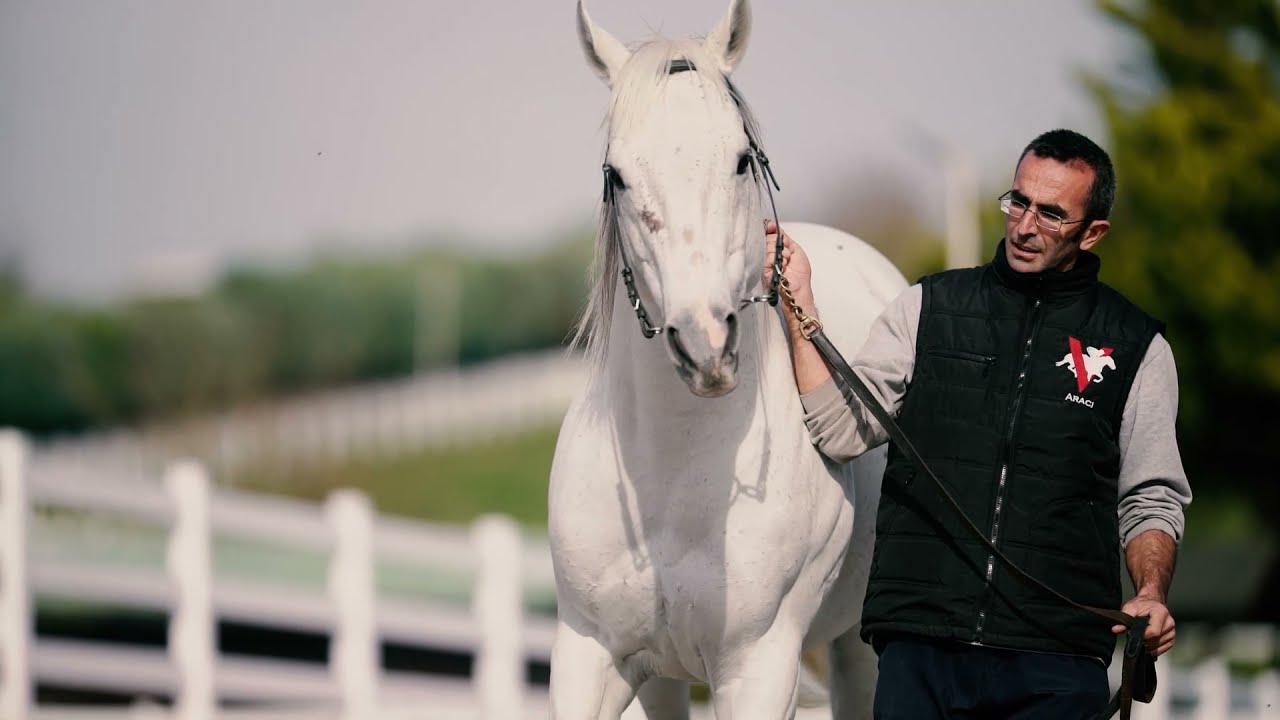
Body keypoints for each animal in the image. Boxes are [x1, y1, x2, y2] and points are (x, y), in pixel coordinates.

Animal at [548, 1, 909, 717]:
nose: (705, 344)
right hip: (662, 678)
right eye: (617, 176)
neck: (674, 484)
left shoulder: (757, 669)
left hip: (857, 645)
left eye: (742, 160)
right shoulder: (590, 654)